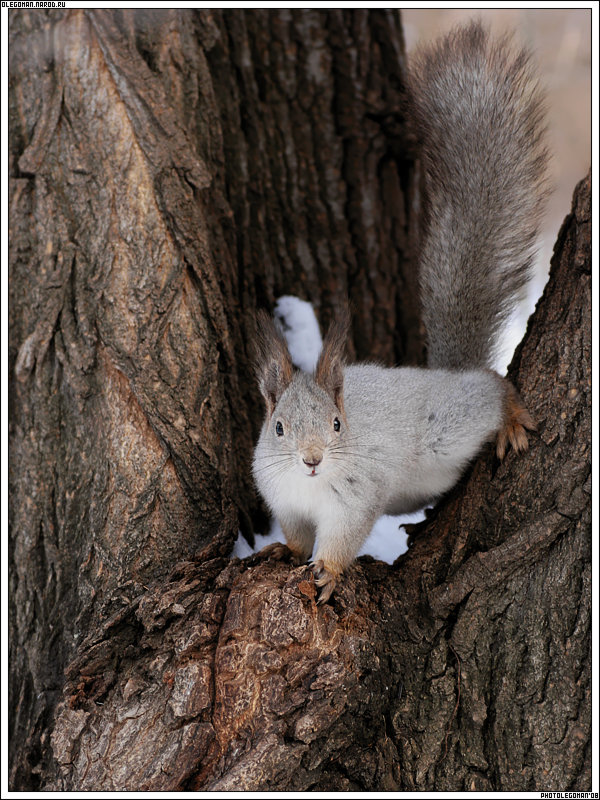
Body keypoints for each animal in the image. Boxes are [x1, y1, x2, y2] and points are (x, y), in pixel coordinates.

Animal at [251, 21, 548, 604]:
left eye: (337, 423)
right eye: (278, 428)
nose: (312, 459)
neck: (307, 486)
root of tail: (448, 373)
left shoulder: (356, 496)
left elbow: (342, 539)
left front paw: (329, 571)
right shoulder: (283, 500)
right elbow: (296, 536)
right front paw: (284, 553)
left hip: (449, 425)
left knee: (490, 389)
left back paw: (507, 415)